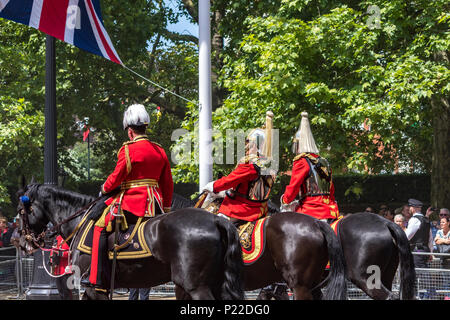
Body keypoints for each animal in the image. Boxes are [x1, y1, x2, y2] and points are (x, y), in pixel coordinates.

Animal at [15, 184, 244, 302]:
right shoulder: (100, 289)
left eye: (20, 211)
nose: (18, 240)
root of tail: (216, 219)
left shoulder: (93, 287)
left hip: (196, 286)